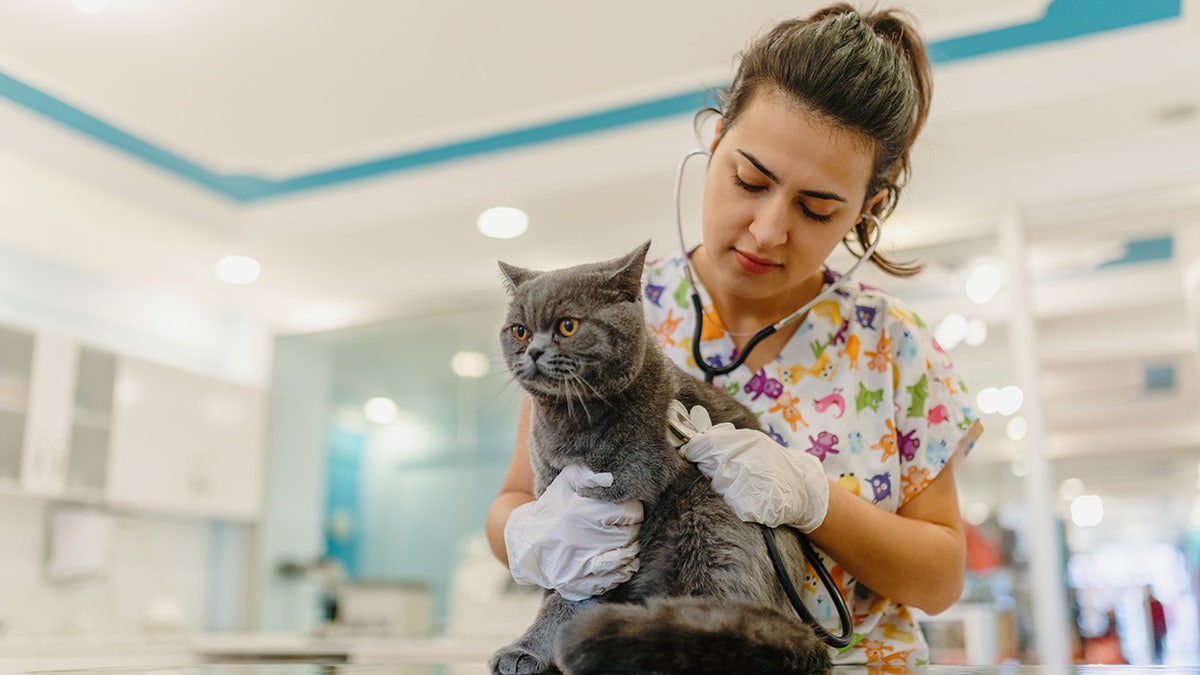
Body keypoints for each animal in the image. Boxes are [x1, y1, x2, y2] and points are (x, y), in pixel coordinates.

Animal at [487, 241, 835, 672]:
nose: (533, 350)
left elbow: (575, 596)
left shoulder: (621, 492)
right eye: (519, 330)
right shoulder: (551, 492)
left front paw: (529, 649)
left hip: (711, 517)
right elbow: (557, 575)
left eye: (568, 326)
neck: (570, 420)